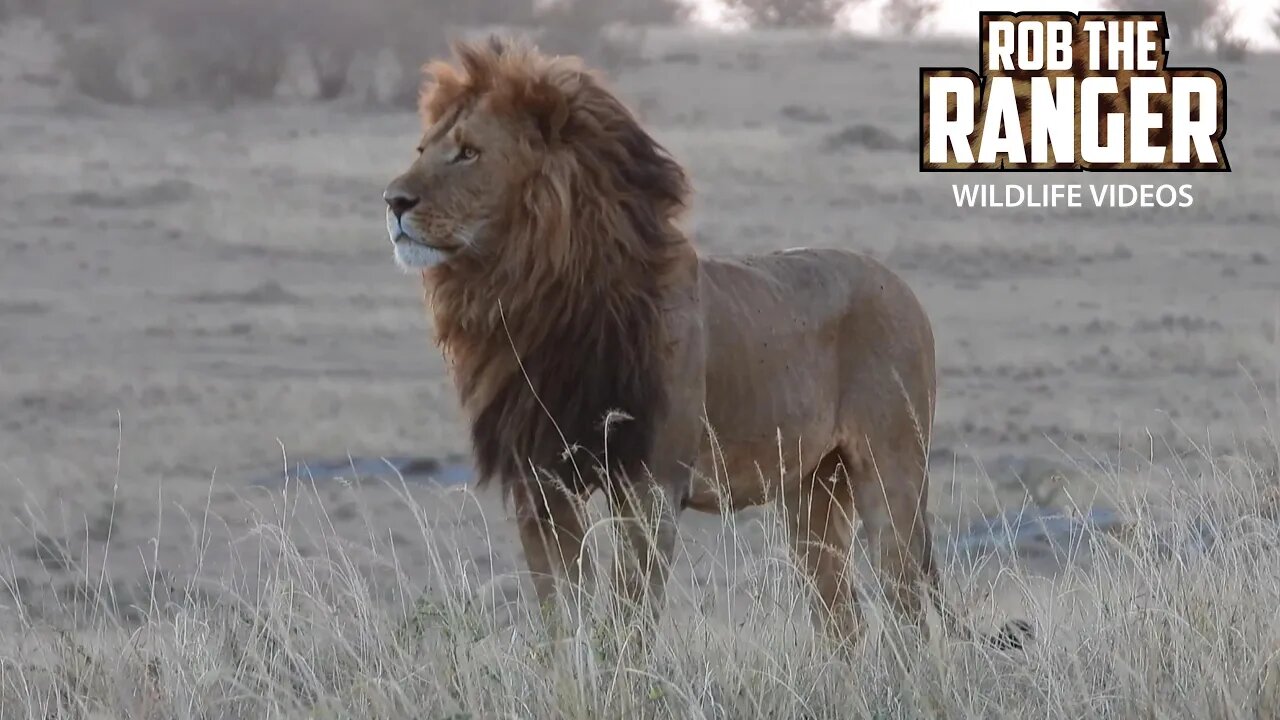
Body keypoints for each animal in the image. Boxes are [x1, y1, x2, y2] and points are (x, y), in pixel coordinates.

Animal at [378, 36, 1029, 648]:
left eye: (468, 152)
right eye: (421, 150)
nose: (393, 201)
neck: (525, 295)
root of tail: (902, 287)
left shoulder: (650, 488)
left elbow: (627, 628)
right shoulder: (541, 486)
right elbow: (564, 623)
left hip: (891, 478)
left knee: (911, 620)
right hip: (811, 493)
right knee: (844, 623)